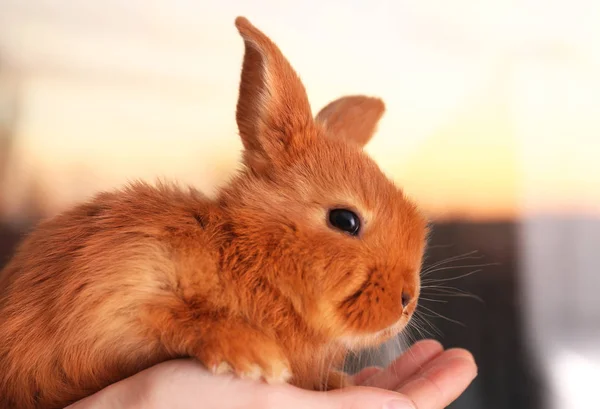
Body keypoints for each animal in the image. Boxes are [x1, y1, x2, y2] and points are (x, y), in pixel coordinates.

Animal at [0, 15, 426, 408]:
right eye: (345, 220)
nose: (407, 300)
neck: (247, 254)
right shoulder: (119, 288)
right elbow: (180, 317)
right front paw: (254, 356)